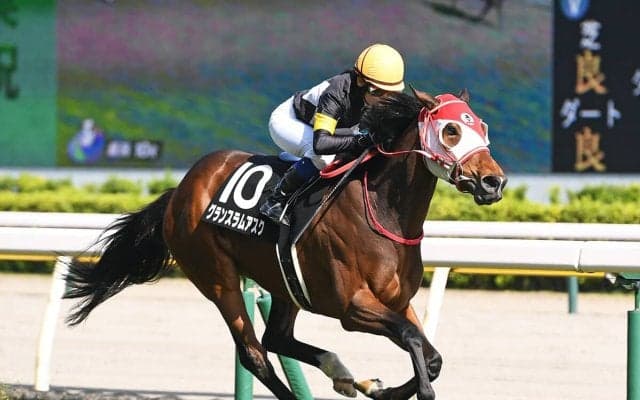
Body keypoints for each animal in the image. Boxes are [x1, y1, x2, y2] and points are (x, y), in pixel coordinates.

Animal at [63, 87, 506, 400]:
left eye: (482, 128)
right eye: (451, 130)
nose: (493, 181)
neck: (383, 211)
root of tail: (180, 190)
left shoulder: (396, 301)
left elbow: (430, 357)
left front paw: (379, 387)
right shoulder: (353, 307)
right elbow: (415, 343)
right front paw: (394, 389)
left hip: (285, 283)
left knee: (276, 339)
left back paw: (342, 374)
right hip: (219, 279)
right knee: (255, 353)